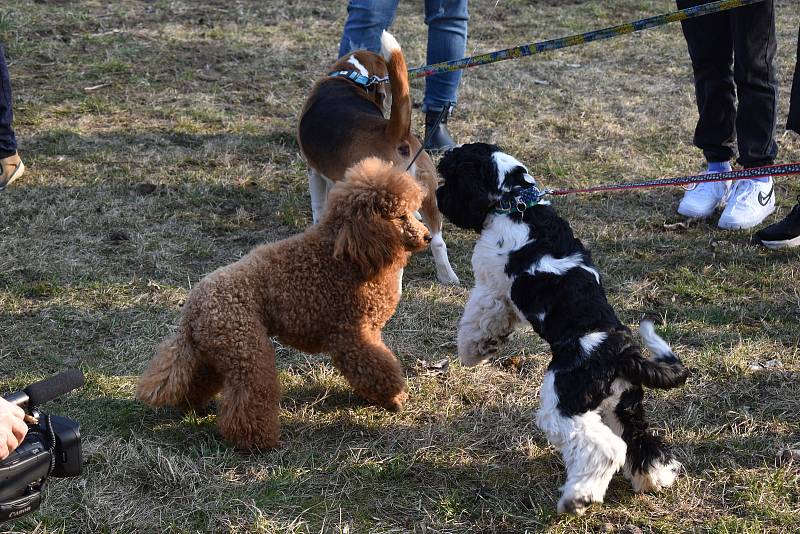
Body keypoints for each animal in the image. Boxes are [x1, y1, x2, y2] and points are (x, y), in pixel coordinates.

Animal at [434, 142, 692, 516]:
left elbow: (478, 319)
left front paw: (472, 352)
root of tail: (622, 352)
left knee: (606, 449)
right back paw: (653, 479)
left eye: (450, 177)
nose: (437, 196)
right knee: (642, 441)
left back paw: (578, 498)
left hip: (563, 404)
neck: (518, 201)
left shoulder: (491, 288)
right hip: (623, 404)